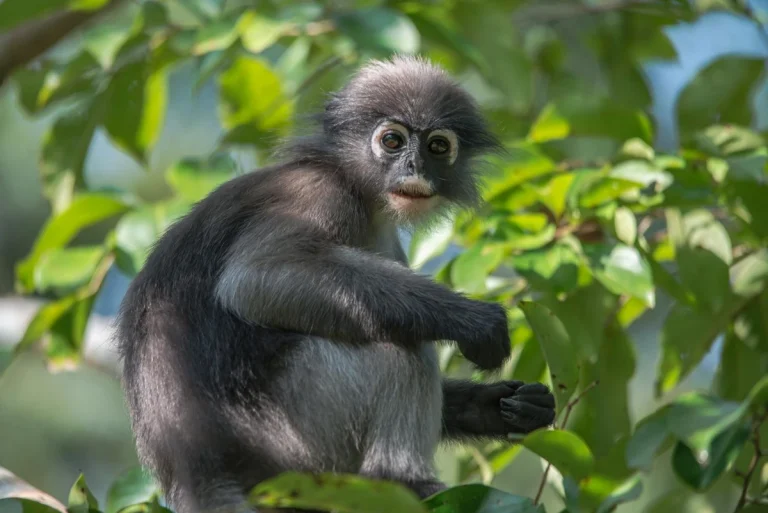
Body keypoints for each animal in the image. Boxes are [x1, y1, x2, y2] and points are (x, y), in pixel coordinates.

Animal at [116, 55, 556, 513]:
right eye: (393, 141)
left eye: (437, 147)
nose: (414, 168)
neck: (357, 188)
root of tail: (202, 471)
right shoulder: (313, 193)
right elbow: (254, 277)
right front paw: (474, 320)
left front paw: (505, 406)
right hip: (295, 437)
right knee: (401, 349)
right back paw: (403, 481)